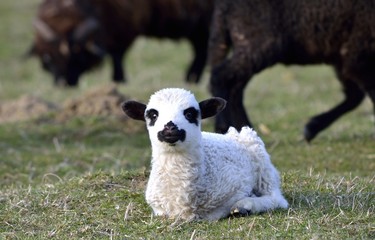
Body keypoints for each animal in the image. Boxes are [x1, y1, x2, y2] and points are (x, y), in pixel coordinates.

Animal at [122, 88, 290, 221]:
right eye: (153, 115)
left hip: (260, 160)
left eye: (190, 113)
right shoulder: (159, 208)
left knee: (276, 198)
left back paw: (245, 205)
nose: (170, 127)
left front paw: (244, 203)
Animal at [209, 0, 375, 141]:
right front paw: (311, 129)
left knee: (234, 87)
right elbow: (364, 95)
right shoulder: (357, 54)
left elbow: (354, 96)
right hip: (257, 42)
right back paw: (226, 127)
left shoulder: (344, 57)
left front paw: (312, 128)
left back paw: (242, 128)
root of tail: (223, 7)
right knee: (221, 76)